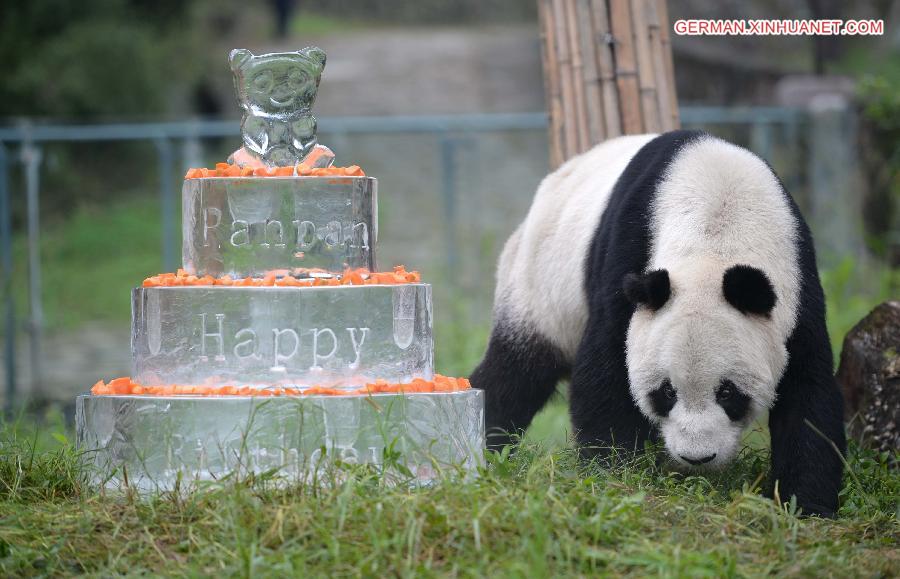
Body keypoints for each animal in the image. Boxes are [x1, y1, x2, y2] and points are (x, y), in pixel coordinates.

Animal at [474, 130, 848, 516]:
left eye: (728, 392)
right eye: (667, 391)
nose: (696, 457)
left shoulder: (797, 288)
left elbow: (809, 392)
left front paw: (806, 505)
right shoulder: (629, 255)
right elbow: (606, 369)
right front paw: (614, 475)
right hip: (540, 282)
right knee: (516, 372)